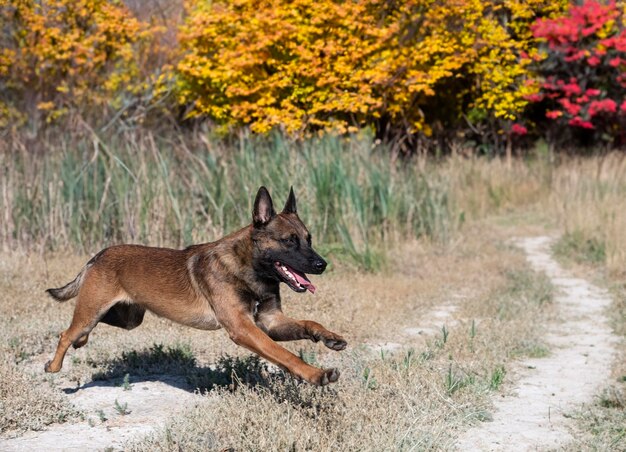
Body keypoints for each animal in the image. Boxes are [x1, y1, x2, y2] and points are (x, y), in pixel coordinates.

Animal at [44, 186, 346, 384]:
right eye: (289, 241)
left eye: (309, 239)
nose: (322, 265)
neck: (248, 267)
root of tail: (99, 255)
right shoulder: (243, 329)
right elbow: (284, 355)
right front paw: (316, 374)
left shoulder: (270, 321)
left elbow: (309, 323)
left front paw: (329, 336)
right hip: (93, 310)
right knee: (66, 333)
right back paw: (54, 366)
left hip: (128, 318)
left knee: (82, 330)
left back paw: (81, 342)